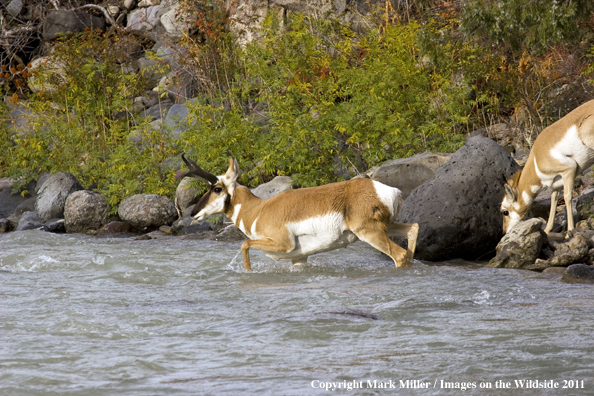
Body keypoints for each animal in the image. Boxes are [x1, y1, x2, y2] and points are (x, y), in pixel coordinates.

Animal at [180, 154, 416, 270]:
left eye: (216, 188)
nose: (193, 213)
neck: (259, 209)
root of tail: (386, 190)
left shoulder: (283, 244)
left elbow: (245, 244)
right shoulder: (299, 258)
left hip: (370, 233)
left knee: (400, 254)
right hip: (386, 227)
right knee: (413, 229)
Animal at [502, 100, 594, 235]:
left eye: (505, 212)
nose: (505, 232)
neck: (536, 158)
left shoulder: (569, 170)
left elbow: (567, 197)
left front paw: (570, 230)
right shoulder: (556, 183)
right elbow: (553, 200)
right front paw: (547, 229)